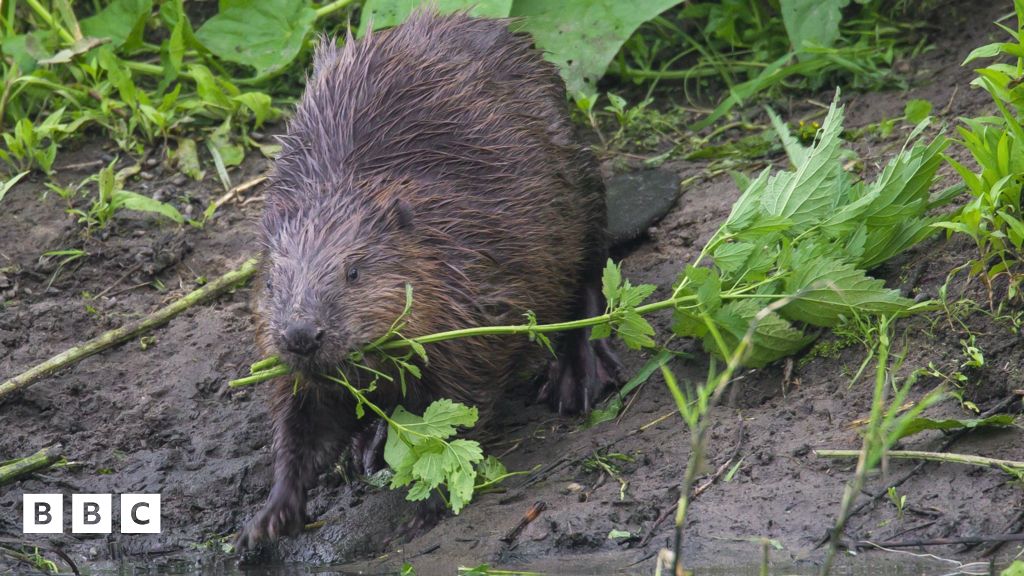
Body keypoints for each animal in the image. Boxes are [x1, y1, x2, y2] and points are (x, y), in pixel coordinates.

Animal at [237, 8, 622, 545]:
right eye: (272, 284)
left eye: (353, 270)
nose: (301, 335)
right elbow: (301, 426)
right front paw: (266, 520)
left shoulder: (479, 291)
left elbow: (459, 411)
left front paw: (422, 511)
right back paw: (370, 442)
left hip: (578, 181)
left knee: (590, 272)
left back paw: (577, 375)